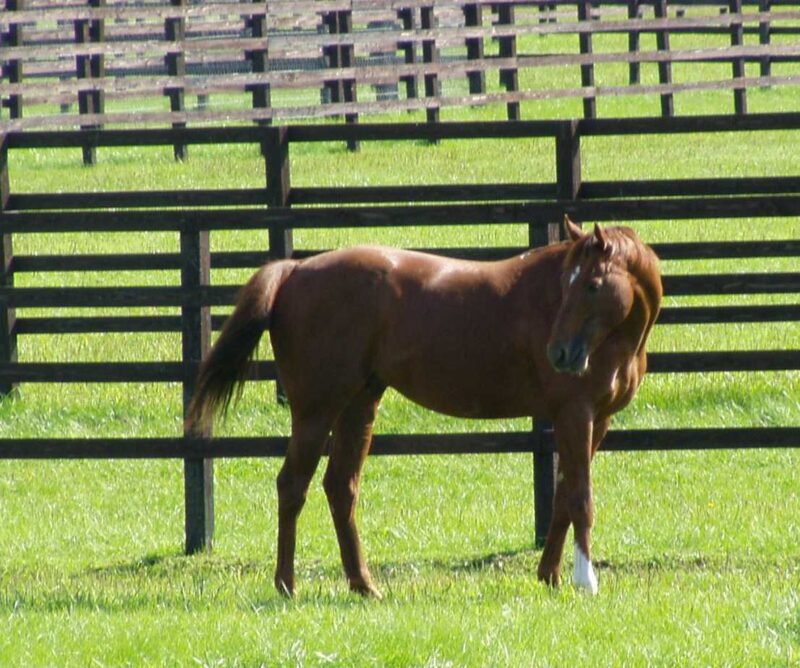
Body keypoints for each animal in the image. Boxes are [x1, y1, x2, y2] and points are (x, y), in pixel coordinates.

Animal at [188, 217, 664, 596]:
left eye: (592, 284)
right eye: (567, 284)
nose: (560, 354)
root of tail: (295, 270)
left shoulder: (598, 420)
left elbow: (563, 494)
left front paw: (550, 575)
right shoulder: (575, 414)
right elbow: (581, 497)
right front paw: (586, 581)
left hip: (360, 404)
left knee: (340, 486)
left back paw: (364, 585)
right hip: (316, 411)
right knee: (292, 486)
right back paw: (287, 584)